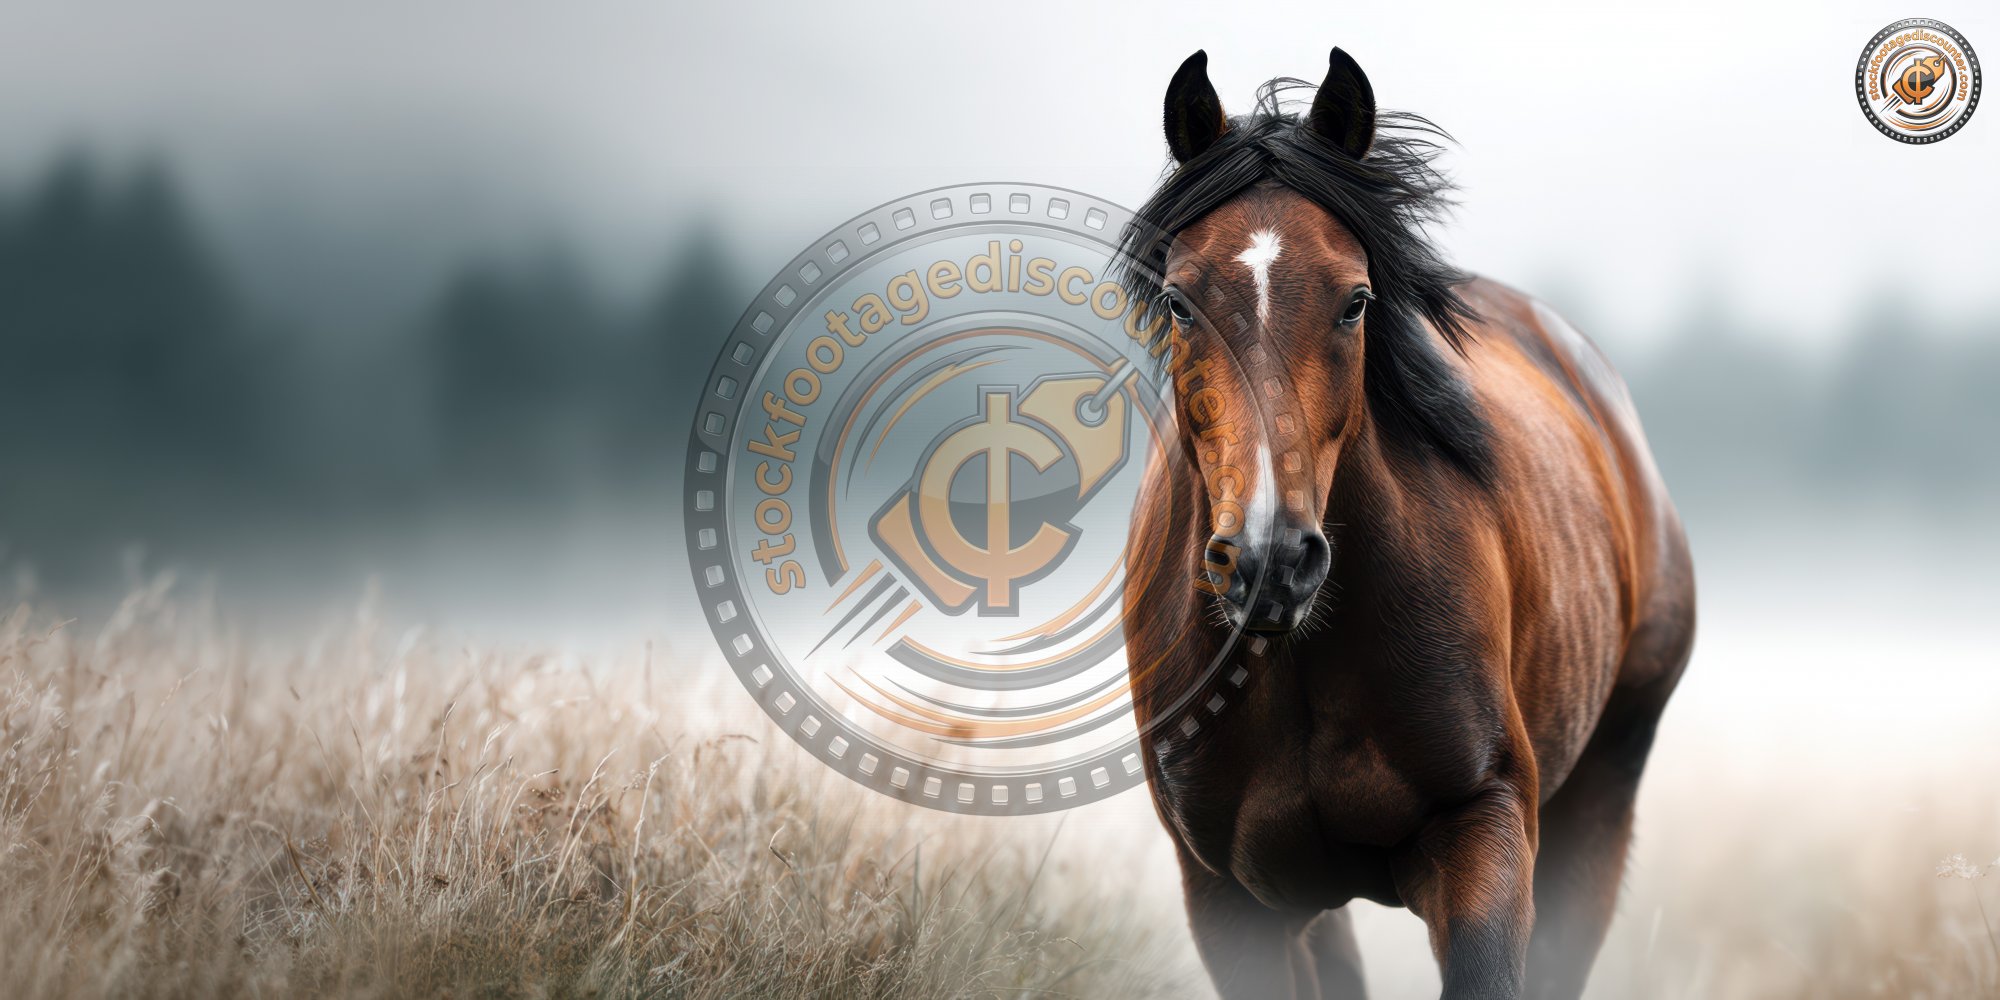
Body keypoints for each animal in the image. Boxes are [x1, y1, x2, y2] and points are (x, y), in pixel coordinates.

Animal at [1117, 48, 1696, 1000]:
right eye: (1178, 303)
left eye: (1355, 300)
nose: (1271, 561)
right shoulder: (1228, 900)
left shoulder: (1481, 830)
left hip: (1601, 801)